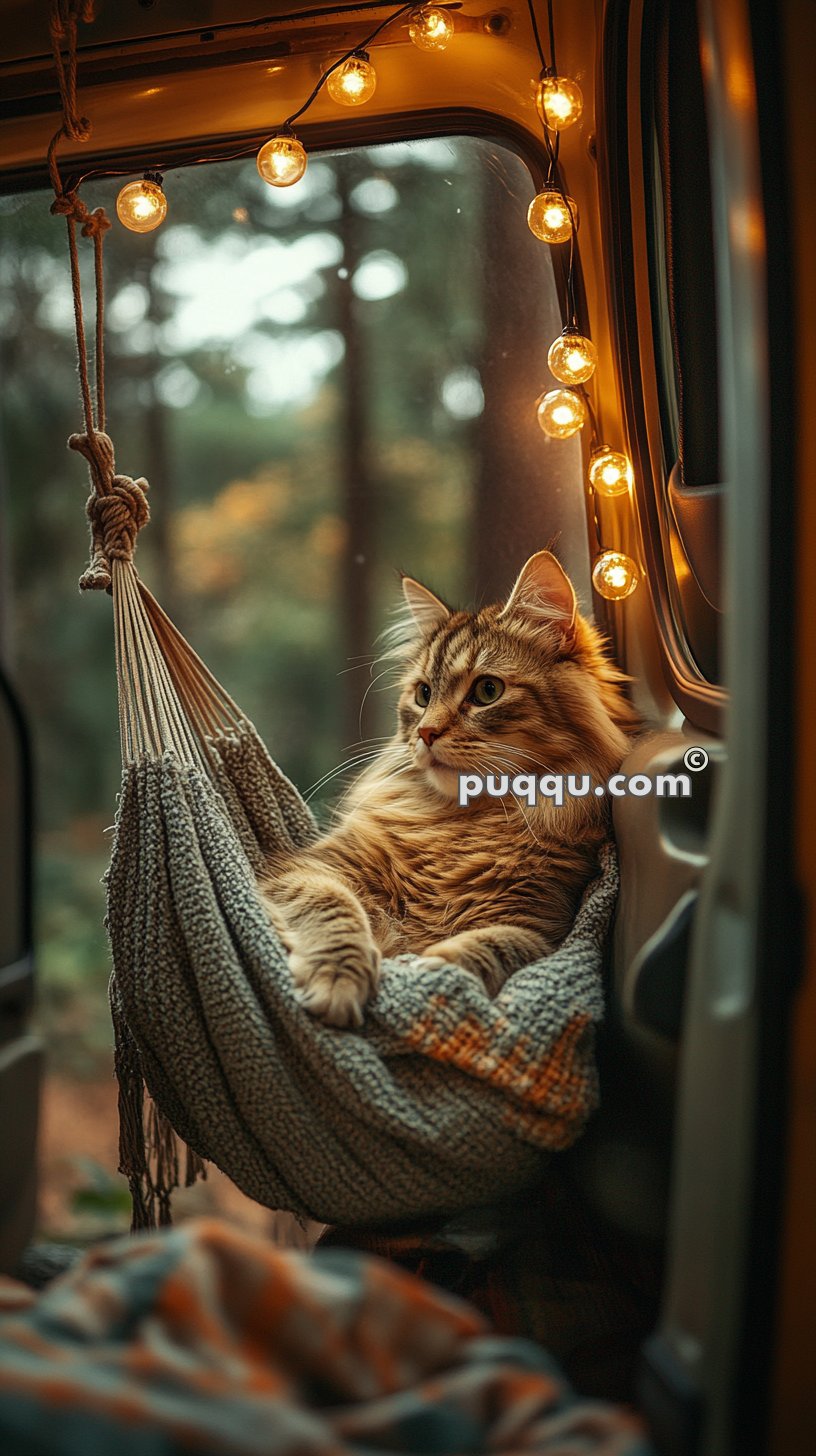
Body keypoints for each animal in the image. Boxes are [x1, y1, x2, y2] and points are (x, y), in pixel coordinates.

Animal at [259, 550, 638, 1030]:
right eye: (423, 694)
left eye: (487, 690)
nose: (426, 733)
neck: (463, 822)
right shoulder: (306, 871)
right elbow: (335, 909)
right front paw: (338, 979)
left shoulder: (546, 930)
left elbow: (494, 946)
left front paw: (432, 968)